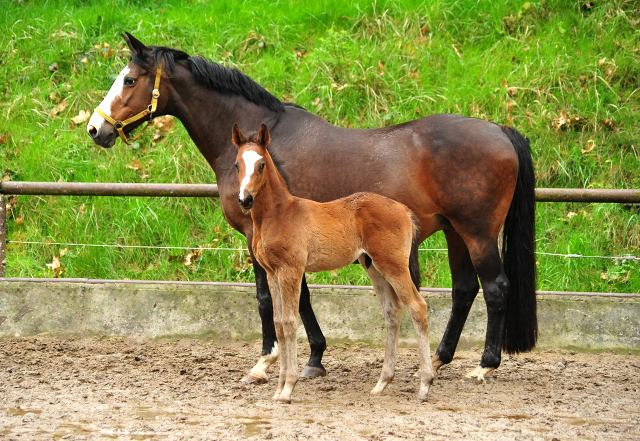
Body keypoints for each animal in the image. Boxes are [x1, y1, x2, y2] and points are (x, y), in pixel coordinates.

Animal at [232, 124, 432, 402]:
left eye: (261, 164)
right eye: (237, 164)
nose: (245, 199)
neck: (279, 214)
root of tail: (403, 209)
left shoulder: (291, 270)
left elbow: (290, 322)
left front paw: (288, 388)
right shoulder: (272, 273)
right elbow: (279, 324)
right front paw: (279, 387)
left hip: (393, 265)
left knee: (417, 307)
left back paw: (424, 385)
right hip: (374, 267)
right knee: (393, 312)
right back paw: (382, 383)